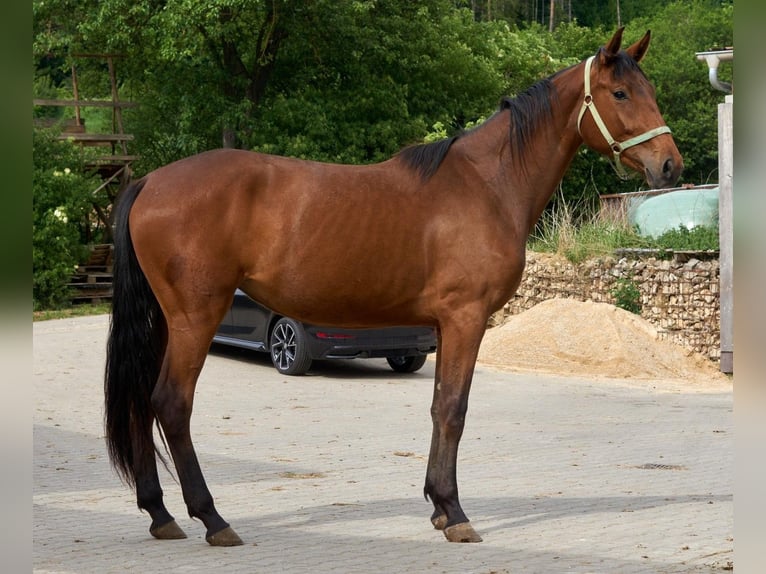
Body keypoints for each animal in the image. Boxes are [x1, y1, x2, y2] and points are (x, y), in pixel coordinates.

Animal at [105, 27, 682, 546]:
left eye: (651, 91)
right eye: (620, 94)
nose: (670, 165)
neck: (487, 184)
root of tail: (150, 182)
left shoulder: (445, 326)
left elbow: (439, 405)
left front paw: (440, 508)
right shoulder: (467, 318)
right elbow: (454, 410)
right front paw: (456, 514)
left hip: (166, 320)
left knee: (141, 402)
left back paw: (160, 514)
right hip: (196, 317)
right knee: (172, 403)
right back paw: (212, 519)